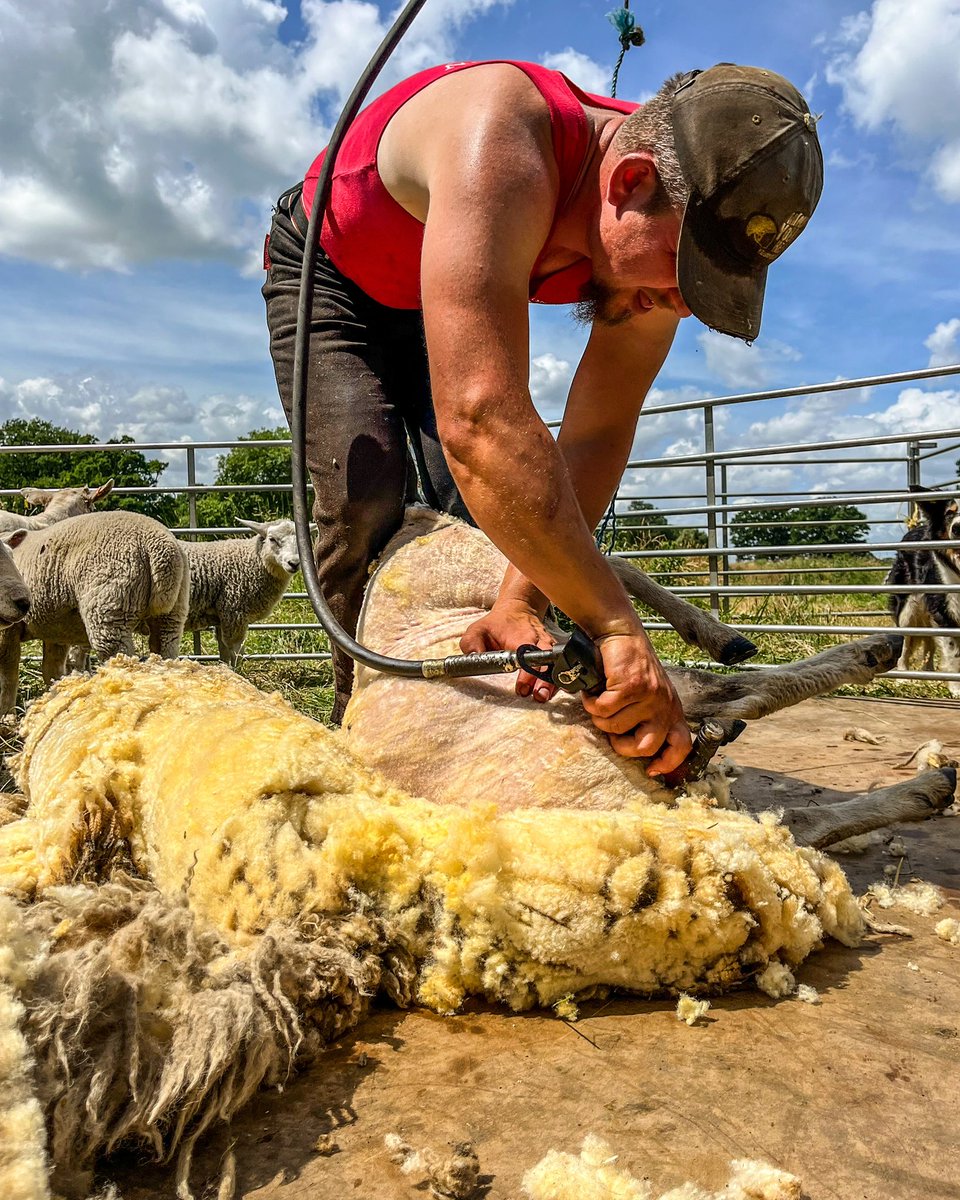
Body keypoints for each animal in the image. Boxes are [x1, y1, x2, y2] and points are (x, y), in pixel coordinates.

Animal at [0, 510, 188, 714]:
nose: (25, 602)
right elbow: (52, 669)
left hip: (110, 607)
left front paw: (6, 714)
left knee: (120, 659)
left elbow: (8, 675)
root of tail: (160, 548)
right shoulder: (55, 632)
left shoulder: (8, 632)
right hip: (172, 614)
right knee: (165, 650)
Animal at [182, 518, 300, 666]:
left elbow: (224, 651)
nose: (294, 563)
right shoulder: (234, 612)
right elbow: (236, 652)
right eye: (272, 539)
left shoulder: (222, 617)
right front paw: (236, 671)